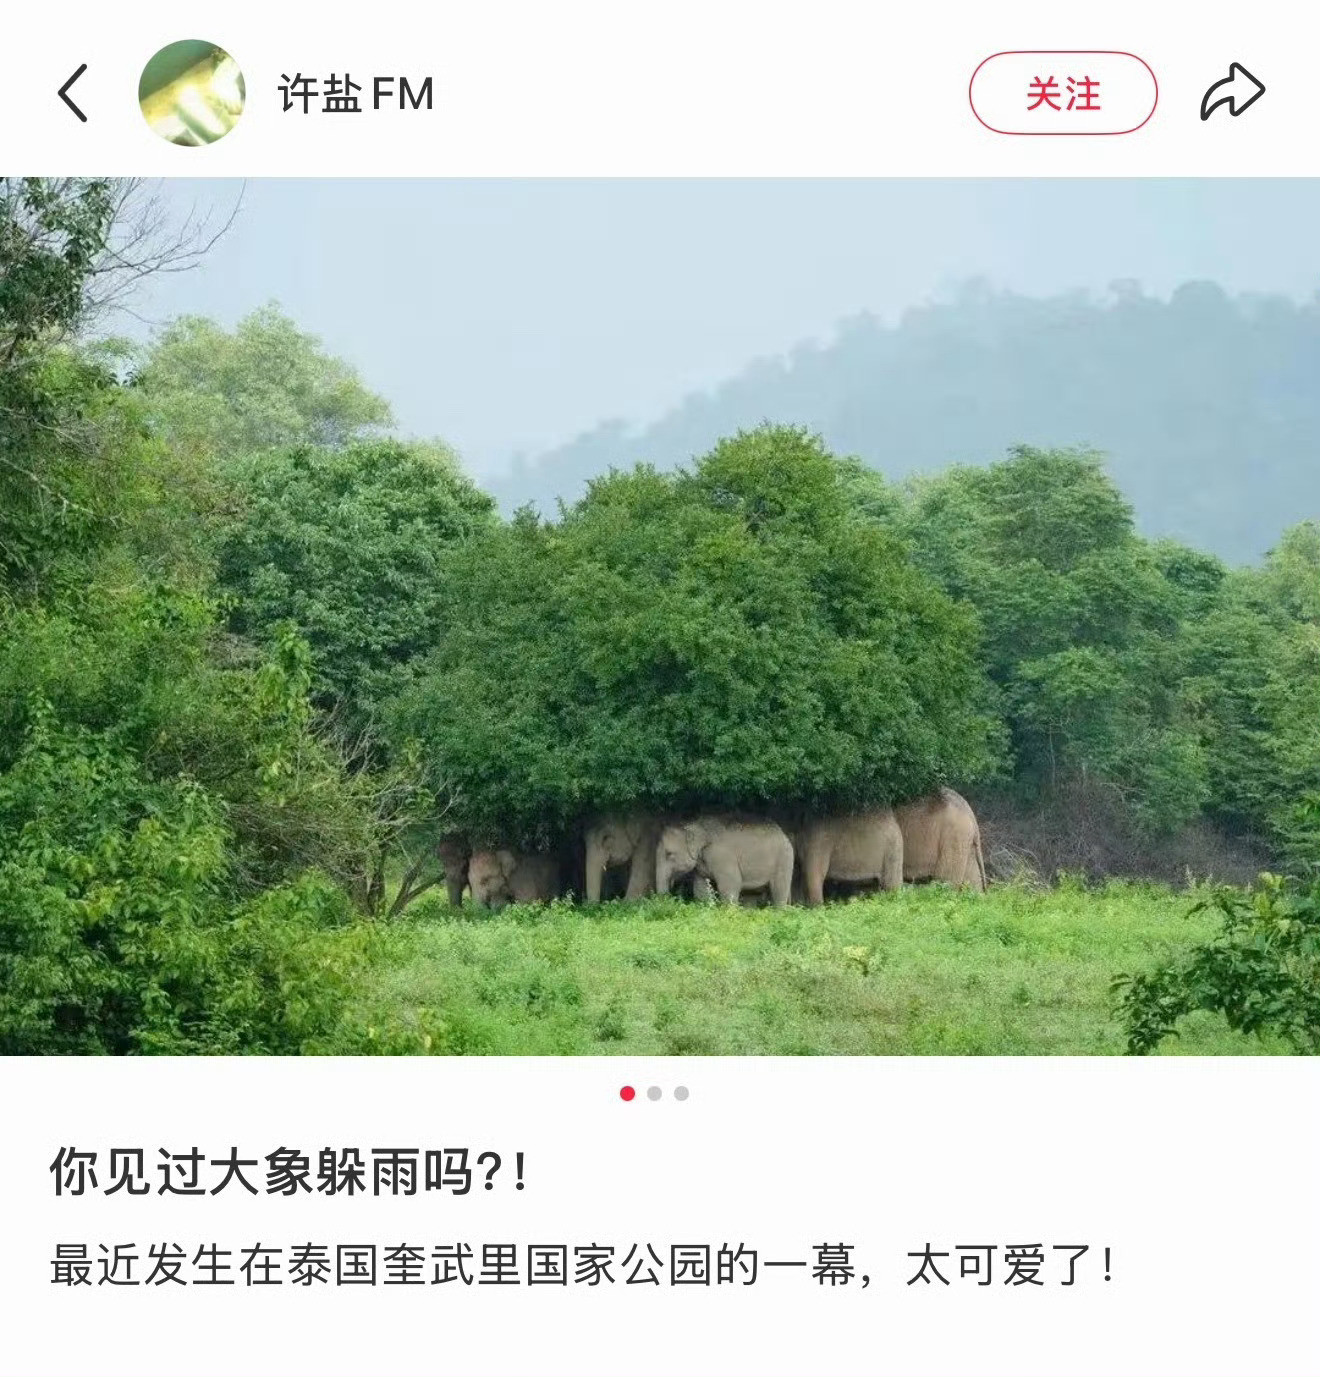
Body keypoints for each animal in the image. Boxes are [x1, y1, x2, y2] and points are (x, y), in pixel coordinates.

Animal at [655, 817, 794, 907]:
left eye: (669, 854)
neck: (695, 826)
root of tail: (784, 834)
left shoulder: (722, 857)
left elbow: (731, 884)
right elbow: (701, 888)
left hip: (785, 859)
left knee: (779, 890)